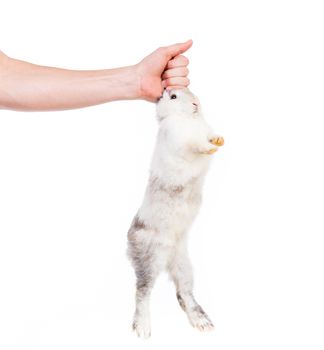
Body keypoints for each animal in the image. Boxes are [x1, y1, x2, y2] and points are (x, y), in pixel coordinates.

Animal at [126, 88, 223, 340]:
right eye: (173, 97)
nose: (196, 104)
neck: (187, 118)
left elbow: (210, 135)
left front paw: (219, 140)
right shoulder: (182, 140)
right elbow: (196, 145)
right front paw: (210, 147)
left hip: (184, 265)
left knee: (183, 293)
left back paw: (203, 323)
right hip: (150, 259)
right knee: (142, 292)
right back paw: (143, 330)